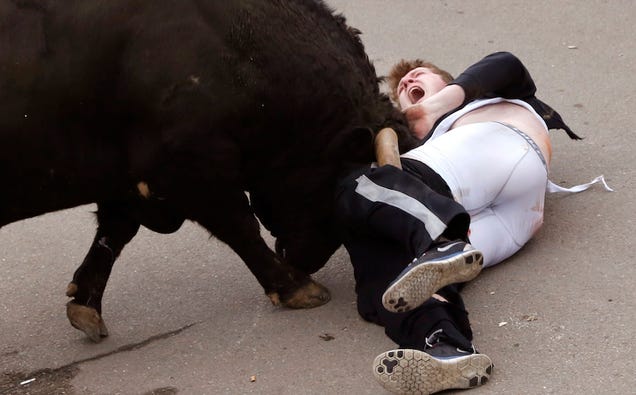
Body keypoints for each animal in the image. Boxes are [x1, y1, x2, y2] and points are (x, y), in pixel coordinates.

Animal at [0, 0, 418, 340]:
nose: (304, 260)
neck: (237, 53)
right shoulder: (190, 171)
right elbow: (240, 227)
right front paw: (297, 287)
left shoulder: (131, 182)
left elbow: (113, 234)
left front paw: (85, 304)